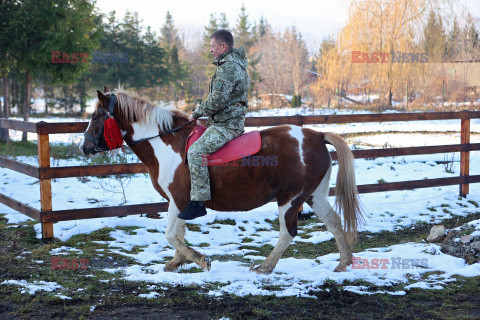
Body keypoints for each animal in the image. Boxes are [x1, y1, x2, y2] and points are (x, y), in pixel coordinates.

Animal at [80, 87, 362, 276]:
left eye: (95, 117)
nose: (85, 147)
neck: (166, 143)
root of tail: (317, 135)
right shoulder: (180, 203)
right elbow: (178, 233)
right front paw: (176, 263)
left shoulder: (178, 199)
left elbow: (171, 234)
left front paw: (200, 260)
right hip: (314, 196)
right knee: (334, 222)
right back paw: (343, 263)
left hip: (290, 200)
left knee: (287, 233)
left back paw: (265, 267)